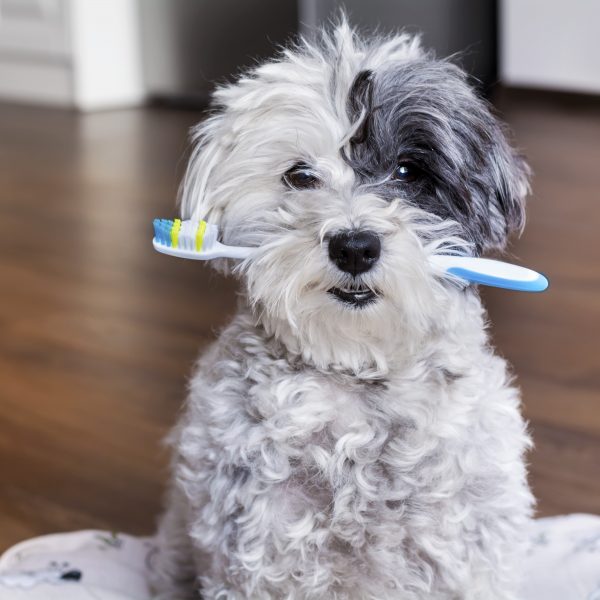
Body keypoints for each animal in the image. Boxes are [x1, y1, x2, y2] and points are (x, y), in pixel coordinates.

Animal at [154, 19, 536, 600]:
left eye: (408, 171)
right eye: (299, 175)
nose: (355, 246)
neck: (359, 371)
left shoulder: (470, 549)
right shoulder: (258, 547)